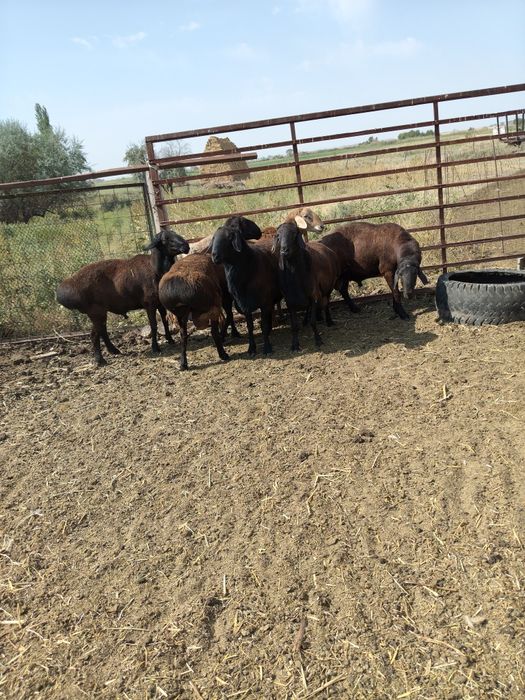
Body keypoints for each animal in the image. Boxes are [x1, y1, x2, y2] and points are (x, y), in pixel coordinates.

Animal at [56, 228, 190, 365]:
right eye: (165, 239)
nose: (186, 246)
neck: (155, 269)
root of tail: (64, 290)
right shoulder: (149, 303)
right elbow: (153, 325)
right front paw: (155, 347)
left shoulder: (159, 303)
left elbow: (164, 321)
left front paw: (170, 340)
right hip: (95, 311)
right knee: (94, 335)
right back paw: (100, 359)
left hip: (100, 312)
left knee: (102, 331)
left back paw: (113, 350)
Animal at [211, 215, 281, 356]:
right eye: (214, 238)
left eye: (229, 238)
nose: (214, 256)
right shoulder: (245, 304)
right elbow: (250, 327)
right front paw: (251, 348)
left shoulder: (265, 301)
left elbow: (264, 326)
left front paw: (267, 348)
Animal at [272, 217, 340, 350]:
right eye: (278, 235)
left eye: (294, 234)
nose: (284, 250)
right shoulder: (290, 300)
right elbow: (294, 325)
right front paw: (295, 344)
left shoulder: (314, 296)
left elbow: (313, 321)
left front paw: (318, 340)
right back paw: (304, 321)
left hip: (328, 288)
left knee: (326, 303)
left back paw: (329, 321)